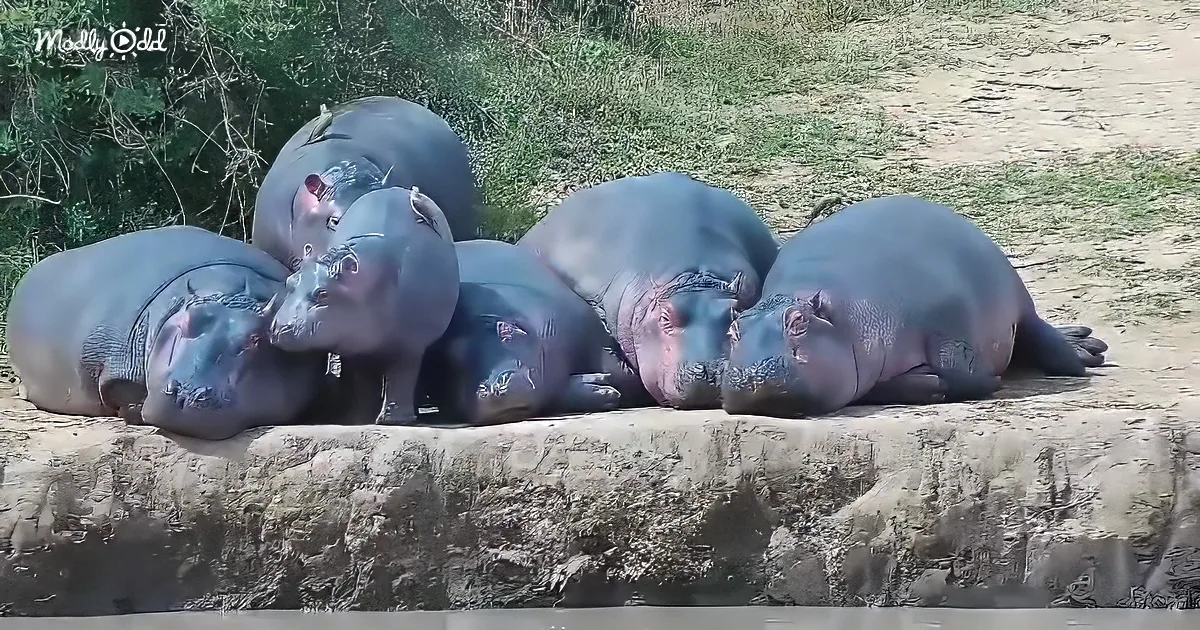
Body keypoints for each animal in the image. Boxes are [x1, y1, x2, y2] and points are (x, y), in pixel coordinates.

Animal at [269, 185, 459, 425]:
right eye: (290, 282)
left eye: (323, 293)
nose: (278, 328)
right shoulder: (355, 348)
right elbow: (361, 382)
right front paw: (358, 419)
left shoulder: (409, 345)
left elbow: (401, 377)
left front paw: (392, 421)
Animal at [420, 239, 650, 425]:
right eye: (447, 361)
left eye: (505, 331)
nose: (491, 388)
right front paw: (602, 386)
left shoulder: (587, 335)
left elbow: (620, 373)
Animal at [721, 194, 1109, 417]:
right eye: (733, 329)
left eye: (799, 321)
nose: (753, 372)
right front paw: (928, 383)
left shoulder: (947, 322)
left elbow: (959, 369)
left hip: (1018, 299)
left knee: (1045, 339)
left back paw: (1084, 351)